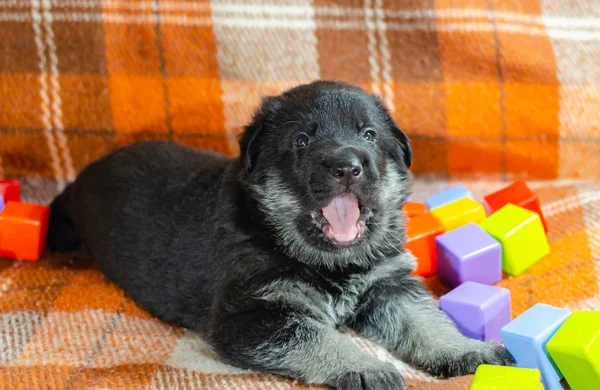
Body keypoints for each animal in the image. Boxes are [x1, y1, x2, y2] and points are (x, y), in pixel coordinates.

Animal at [49, 80, 512, 388]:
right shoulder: (251, 316)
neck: (326, 260)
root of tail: (80, 178)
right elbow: (314, 336)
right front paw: (363, 366)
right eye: (302, 140)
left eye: (369, 135)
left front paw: (466, 349)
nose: (347, 167)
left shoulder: (388, 285)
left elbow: (426, 321)